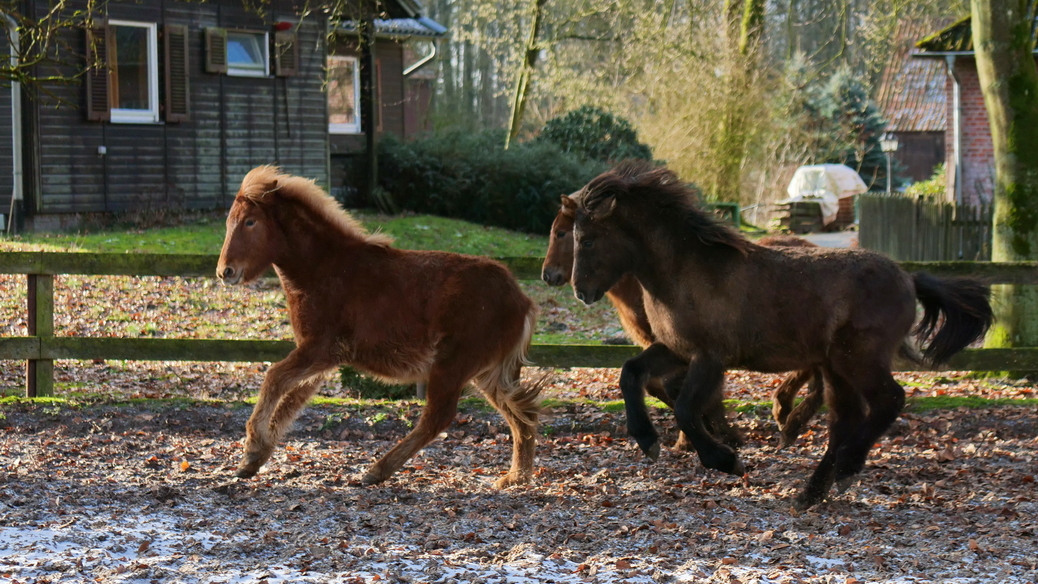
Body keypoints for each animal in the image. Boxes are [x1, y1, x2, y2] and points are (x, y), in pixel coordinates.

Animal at [219, 165, 543, 489]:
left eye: (250, 222)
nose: (225, 272)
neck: (325, 268)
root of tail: (522, 299)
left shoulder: (320, 349)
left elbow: (274, 379)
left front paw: (252, 449)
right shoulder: (320, 360)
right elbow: (290, 400)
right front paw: (254, 459)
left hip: (453, 366)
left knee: (439, 417)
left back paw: (376, 470)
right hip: (488, 373)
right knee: (521, 413)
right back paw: (516, 477)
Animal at [543, 199, 826, 450]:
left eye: (562, 233)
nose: (548, 275)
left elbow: (681, 388)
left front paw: (716, 434)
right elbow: (660, 386)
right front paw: (704, 433)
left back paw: (787, 411)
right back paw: (786, 410)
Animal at [572, 159, 992, 508]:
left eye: (587, 239)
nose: (580, 291)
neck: (685, 271)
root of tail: (909, 278)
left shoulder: (710, 357)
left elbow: (686, 408)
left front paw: (727, 460)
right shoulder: (676, 349)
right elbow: (631, 374)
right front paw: (648, 441)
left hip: (858, 358)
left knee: (889, 401)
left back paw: (846, 469)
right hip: (836, 366)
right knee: (846, 419)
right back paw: (812, 492)